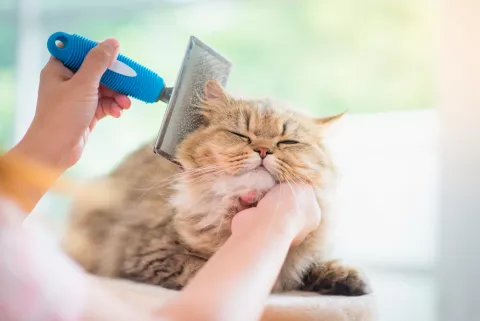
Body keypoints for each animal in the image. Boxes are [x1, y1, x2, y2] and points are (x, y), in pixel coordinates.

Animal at [62, 80, 372, 296]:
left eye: (287, 142)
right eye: (241, 135)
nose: (263, 150)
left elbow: (312, 264)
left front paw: (347, 279)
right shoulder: (148, 253)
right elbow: (199, 269)